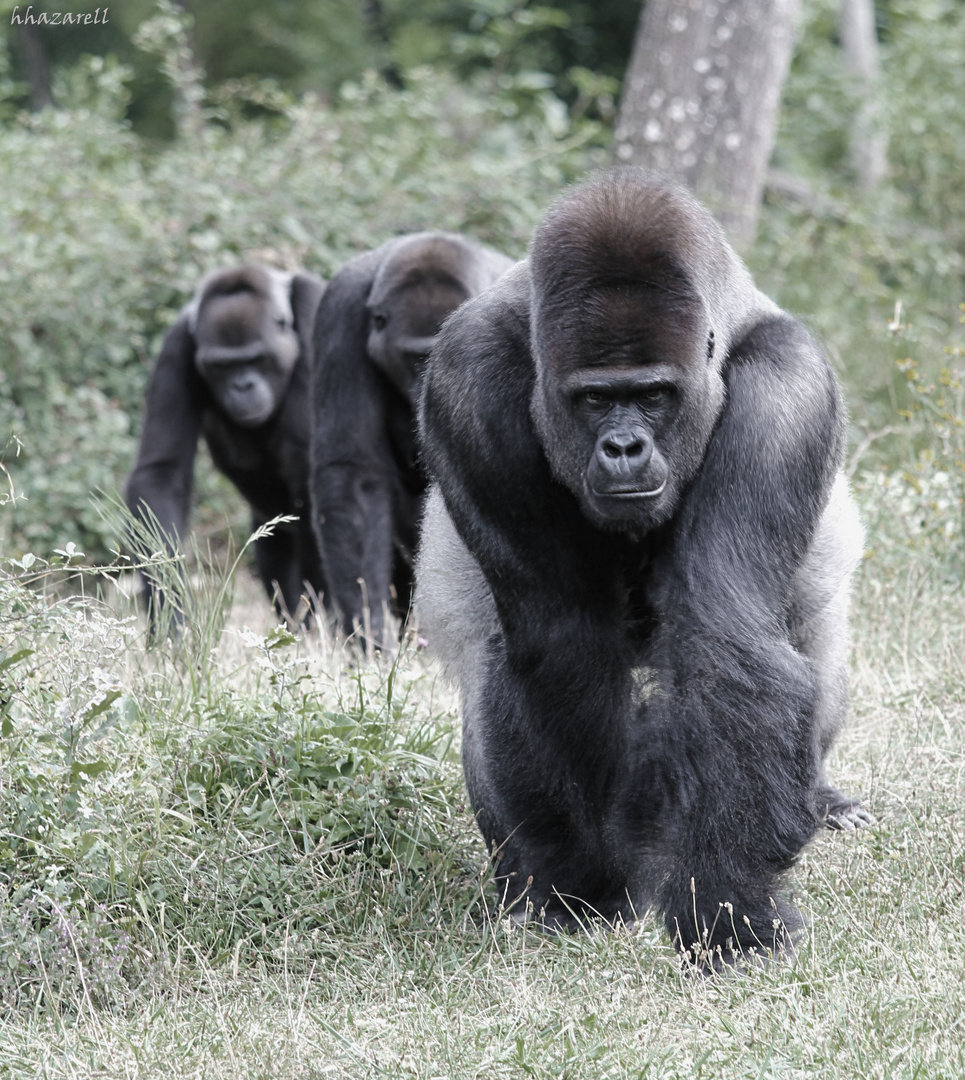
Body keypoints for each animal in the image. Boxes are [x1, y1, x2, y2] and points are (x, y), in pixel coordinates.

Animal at [127, 264, 328, 630]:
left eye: (256, 359)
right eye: (222, 366)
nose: (242, 386)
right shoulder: (178, 344)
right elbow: (161, 474)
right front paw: (169, 612)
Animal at [418, 170, 872, 972]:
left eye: (654, 395)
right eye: (595, 398)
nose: (623, 448)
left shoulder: (785, 392)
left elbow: (728, 639)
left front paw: (727, 910)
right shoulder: (465, 384)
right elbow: (561, 637)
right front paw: (585, 891)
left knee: (812, 643)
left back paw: (822, 800)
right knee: (493, 655)